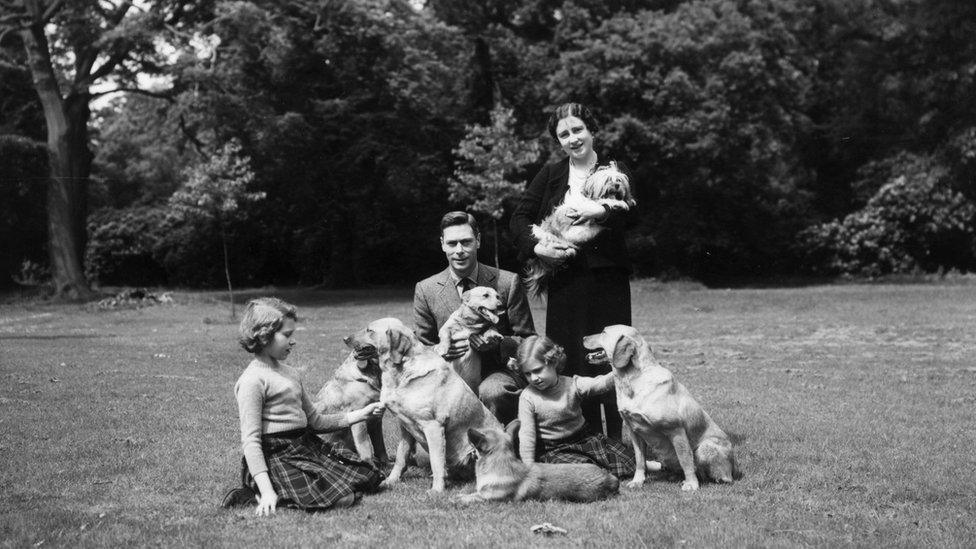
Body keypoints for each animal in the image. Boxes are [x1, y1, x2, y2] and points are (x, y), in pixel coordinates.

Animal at [346, 316, 504, 492]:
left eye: (369, 330)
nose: (345, 338)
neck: (401, 370)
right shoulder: (405, 427)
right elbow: (401, 457)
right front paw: (391, 480)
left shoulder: (433, 426)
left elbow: (436, 461)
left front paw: (437, 490)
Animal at [452, 426, 616, 504]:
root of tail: (608, 477)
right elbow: (470, 493)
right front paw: (460, 494)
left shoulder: (488, 499)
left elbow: (472, 497)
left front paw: (457, 499)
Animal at [524, 162, 636, 298]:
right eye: (607, 180)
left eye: (618, 180)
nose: (617, 185)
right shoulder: (586, 207)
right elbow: (603, 201)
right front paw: (619, 202)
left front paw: (627, 200)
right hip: (549, 238)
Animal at [584, 324, 736, 490]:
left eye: (603, 332)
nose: (583, 337)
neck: (631, 380)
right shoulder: (634, 431)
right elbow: (640, 461)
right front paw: (637, 481)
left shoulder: (675, 430)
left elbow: (685, 460)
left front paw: (691, 484)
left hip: (705, 448)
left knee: (717, 476)